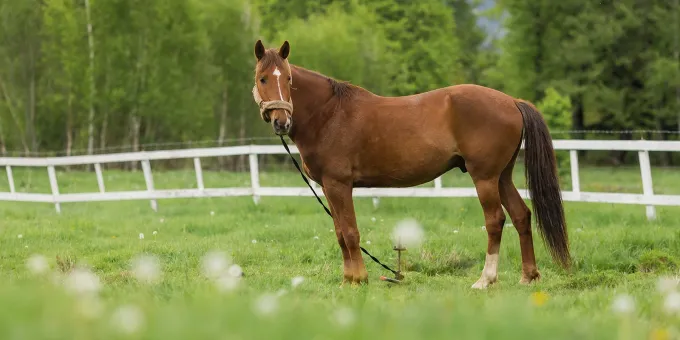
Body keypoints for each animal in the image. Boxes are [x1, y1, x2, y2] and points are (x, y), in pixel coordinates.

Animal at [252, 40, 572, 290]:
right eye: (262, 78)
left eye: (288, 78)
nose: (281, 121)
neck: (329, 114)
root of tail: (512, 101)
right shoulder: (328, 188)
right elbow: (341, 233)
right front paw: (347, 279)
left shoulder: (338, 184)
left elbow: (351, 232)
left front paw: (359, 279)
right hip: (502, 177)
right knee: (521, 216)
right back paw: (528, 277)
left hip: (485, 178)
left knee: (495, 220)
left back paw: (485, 279)